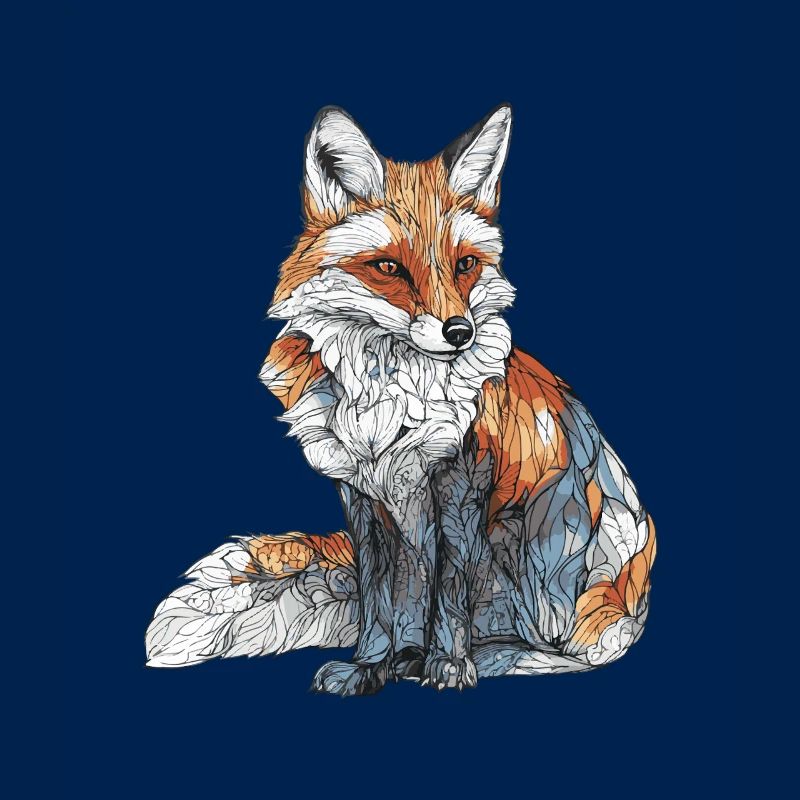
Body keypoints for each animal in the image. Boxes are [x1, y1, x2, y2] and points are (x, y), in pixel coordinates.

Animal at [146, 104, 656, 695]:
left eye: (465, 265)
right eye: (389, 268)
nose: (459, 332)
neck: (386, 401)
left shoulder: (459, 486)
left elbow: (450, 595)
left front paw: (450, 664)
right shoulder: (362, 495)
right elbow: (378, 599)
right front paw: (370, 666)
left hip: (533, 545)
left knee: (559, 652)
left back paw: (478, 658)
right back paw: (407, 659)